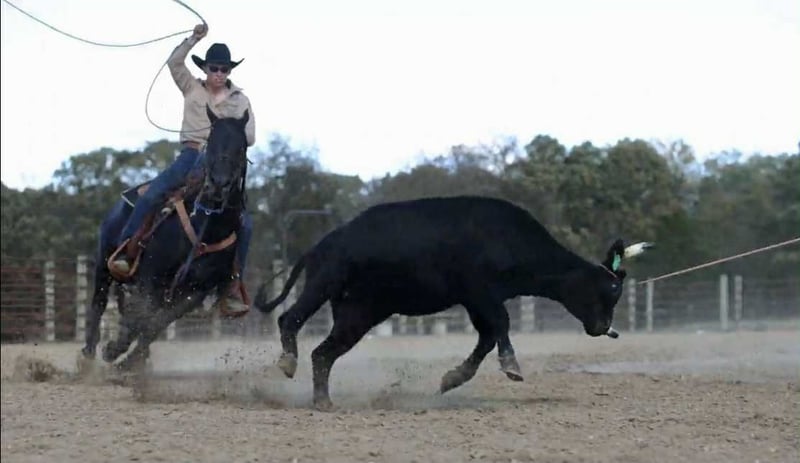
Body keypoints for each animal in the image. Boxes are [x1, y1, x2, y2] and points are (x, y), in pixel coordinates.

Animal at [255, 195, 652, 410]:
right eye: (610, 289)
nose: (605, 328)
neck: (508, 238)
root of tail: (322, 243)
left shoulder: (477, 302)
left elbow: (487, 337)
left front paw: (452, 379)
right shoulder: (480, 292)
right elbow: (502, 325)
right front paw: (512, 366)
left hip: (358, 313)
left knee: (323, 353)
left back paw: (323, 401)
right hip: (325, 281)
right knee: (290, 319)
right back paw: (288, 362)